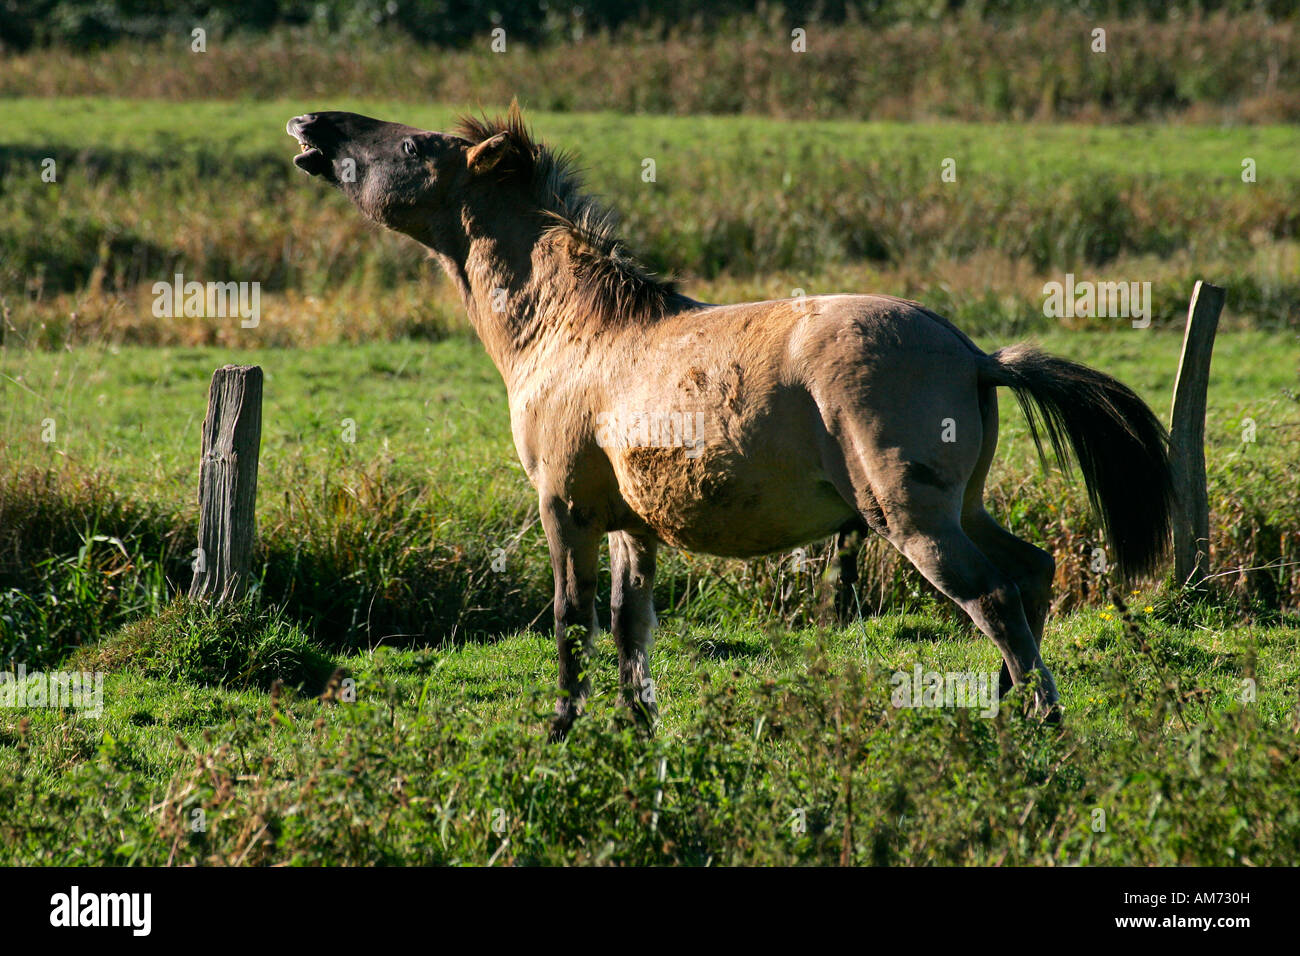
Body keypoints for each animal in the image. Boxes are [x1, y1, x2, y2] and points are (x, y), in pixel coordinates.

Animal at [287, 104, 1180, 738]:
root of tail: (975, 354)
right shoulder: (630, 528)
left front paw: (562, 732)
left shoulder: (563, 510)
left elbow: (572, 624)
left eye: (415, 146)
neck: (574, 331)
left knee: (993, 598)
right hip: (961, 507)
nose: (310, 126)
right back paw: (1008, 715)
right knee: (1031, 574)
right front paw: (640, 736)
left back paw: (1042, 723)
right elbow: (630, 632)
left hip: (911, 518)